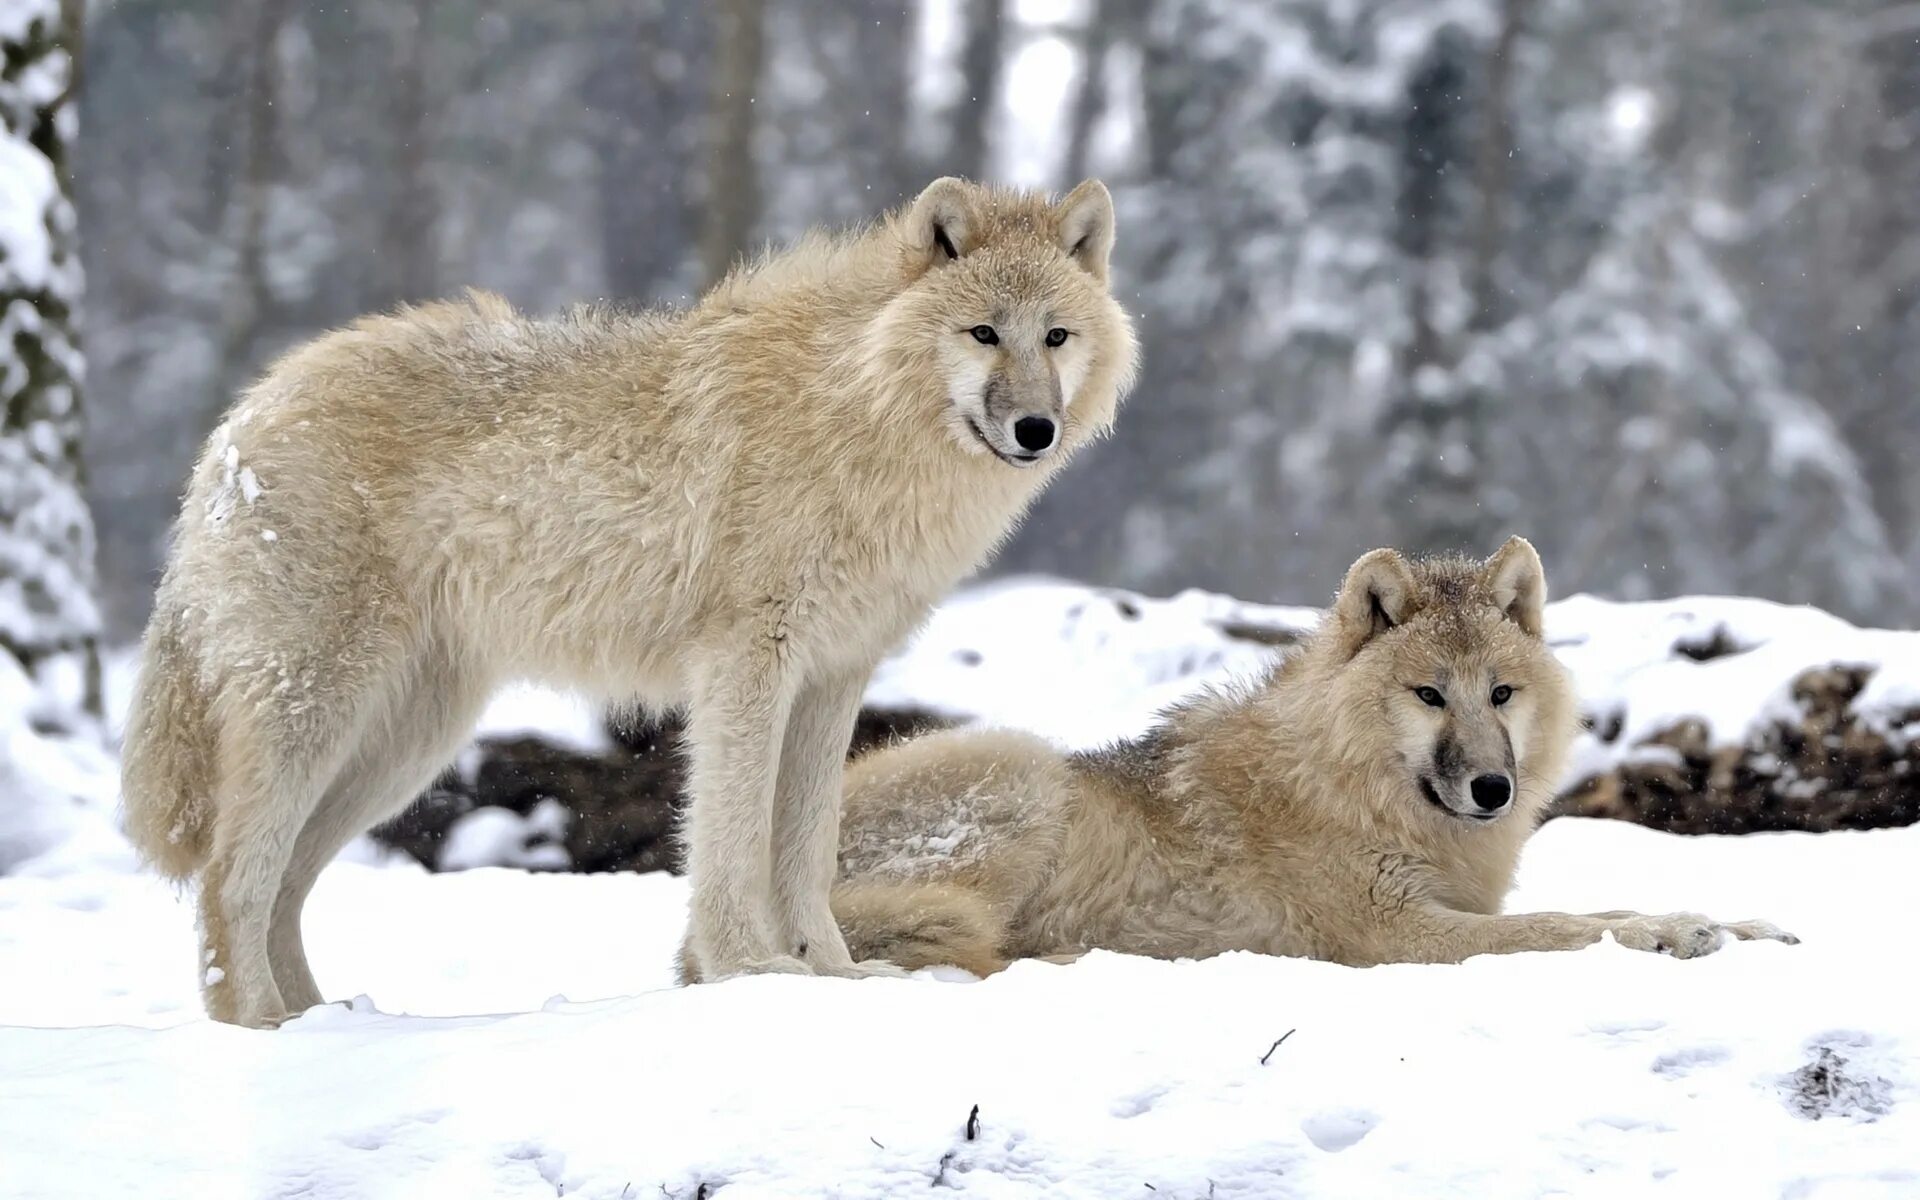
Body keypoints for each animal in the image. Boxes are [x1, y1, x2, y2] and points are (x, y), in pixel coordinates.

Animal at [120, 175, 1128, 1021]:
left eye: (1056, 336)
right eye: (983, 333)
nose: (1034, 430)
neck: (854, 414)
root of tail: (242, 416)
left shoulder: (834, 678)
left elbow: (806, 851)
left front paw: (836, 976)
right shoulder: (745, 666)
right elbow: (731, 839)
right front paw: (749, 971)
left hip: (404, 744)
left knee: (285, 886)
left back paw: (317, 1023)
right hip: (320, 715)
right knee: (230, 878)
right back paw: (256, 1028)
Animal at [698, 537, 1789, 979]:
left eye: (1501, 694)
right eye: (1429, 695)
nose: (1491, 787)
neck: (1351, 785)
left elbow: (1602, 906)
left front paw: (1740, 925)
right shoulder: (1395, 935)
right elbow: (1565, 927)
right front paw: (1667, 935)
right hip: (1022, 773)